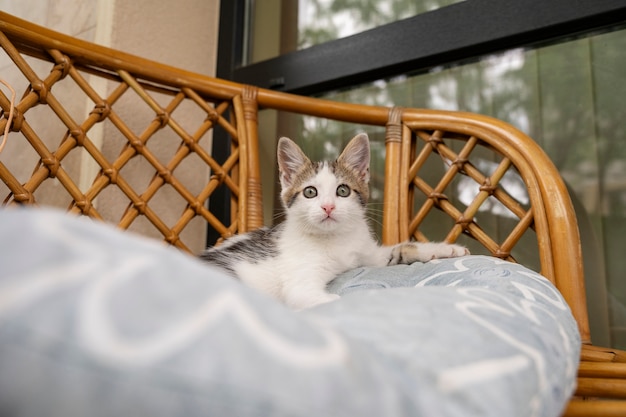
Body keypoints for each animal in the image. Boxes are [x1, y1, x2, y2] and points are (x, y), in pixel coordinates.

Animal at [197, 133, 466, 308]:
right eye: (310, 192)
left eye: (343, 191)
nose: (328, 206)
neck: (335, 240)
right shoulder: (300, 285)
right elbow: (324, 298)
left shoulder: (366, 255)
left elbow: (400, 249)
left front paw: (446, 249)